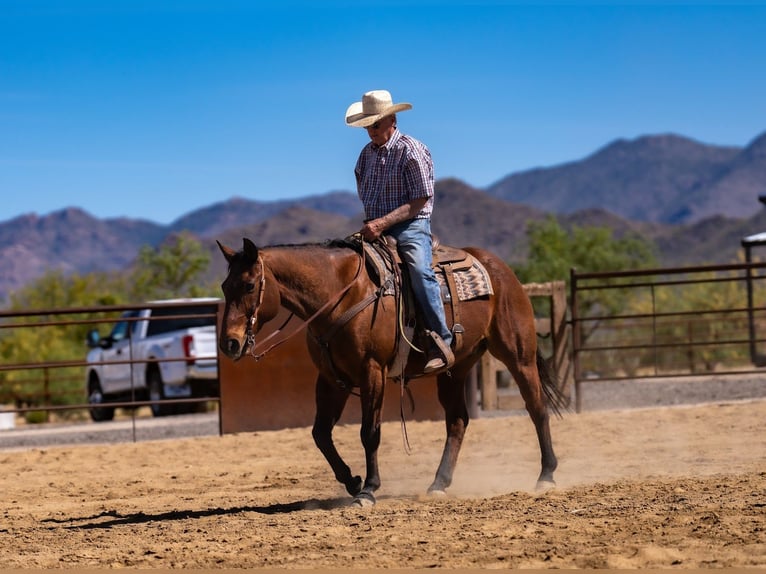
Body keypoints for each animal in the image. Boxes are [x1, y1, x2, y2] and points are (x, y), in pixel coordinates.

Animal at [217, 237, 567, 506]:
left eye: (249, 284)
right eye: (224, 286)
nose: (229, 343)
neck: (342, 294)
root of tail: (500, 269)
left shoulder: (372, 371)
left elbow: (369, 433)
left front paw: (368, 490)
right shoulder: (331, 380)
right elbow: (320, 434)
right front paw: (353, 481)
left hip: (518, 355)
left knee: (537, 408)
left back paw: (547, 475)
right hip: (455, 369)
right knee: (457, 421)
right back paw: (438, 484)